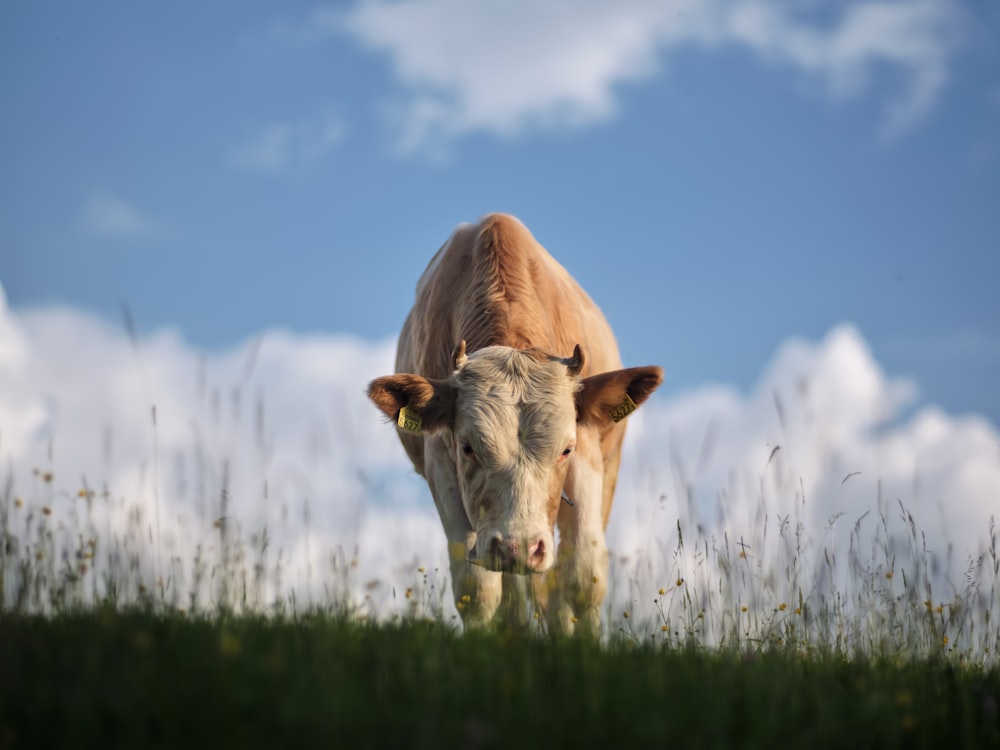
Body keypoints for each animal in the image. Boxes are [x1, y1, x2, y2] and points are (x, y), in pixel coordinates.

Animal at [368, 213, 664, 636]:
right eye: (468, 447)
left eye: (566, 449)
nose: (519, 548)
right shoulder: (441, 463)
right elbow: (477, 588)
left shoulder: (587, 458)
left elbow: (582, 575)